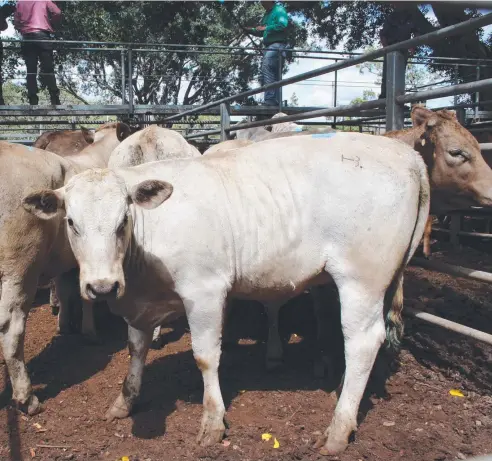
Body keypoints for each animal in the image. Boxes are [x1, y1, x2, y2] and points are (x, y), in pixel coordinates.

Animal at [25, 132, 428, 452]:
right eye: (71, 222)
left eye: (122, 220)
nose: (103, 286)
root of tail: (408, 155)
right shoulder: (140, 303)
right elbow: (136, 349)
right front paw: (125, 401)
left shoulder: (205, 291)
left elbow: (205, 356)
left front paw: (213, 421)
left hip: (361, 278)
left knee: (362, 341)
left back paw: (338, 428)